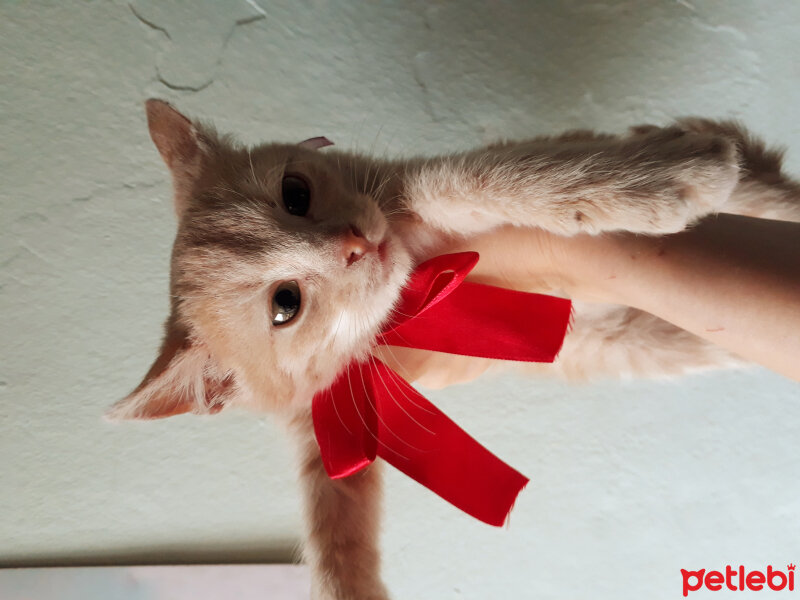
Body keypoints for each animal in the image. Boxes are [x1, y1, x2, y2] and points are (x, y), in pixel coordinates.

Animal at [108, 101, 800, 596]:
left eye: (295, 193)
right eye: (285, 305)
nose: (354, 244)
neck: (406, 308)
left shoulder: (416, 190)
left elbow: (469, 179)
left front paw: (656, 181)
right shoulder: (330, 429)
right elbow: (335, 541)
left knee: (762, 186)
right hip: (631, 342)